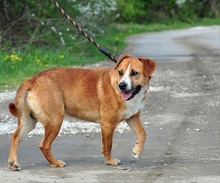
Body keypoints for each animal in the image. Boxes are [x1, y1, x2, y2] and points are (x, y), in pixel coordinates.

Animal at [7, 54, 156, 170]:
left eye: (134, 73)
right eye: (120, 72)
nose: (122, 85)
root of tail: (32, 80)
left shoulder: (133, 117)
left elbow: (143, 133)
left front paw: (137, 150)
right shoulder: (108, 124)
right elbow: (108, 145)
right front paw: (109, 161)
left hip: (29, 121)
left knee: (15, 137)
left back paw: (13, 162)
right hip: (55, 120)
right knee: (44, 145)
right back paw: (55, 162)